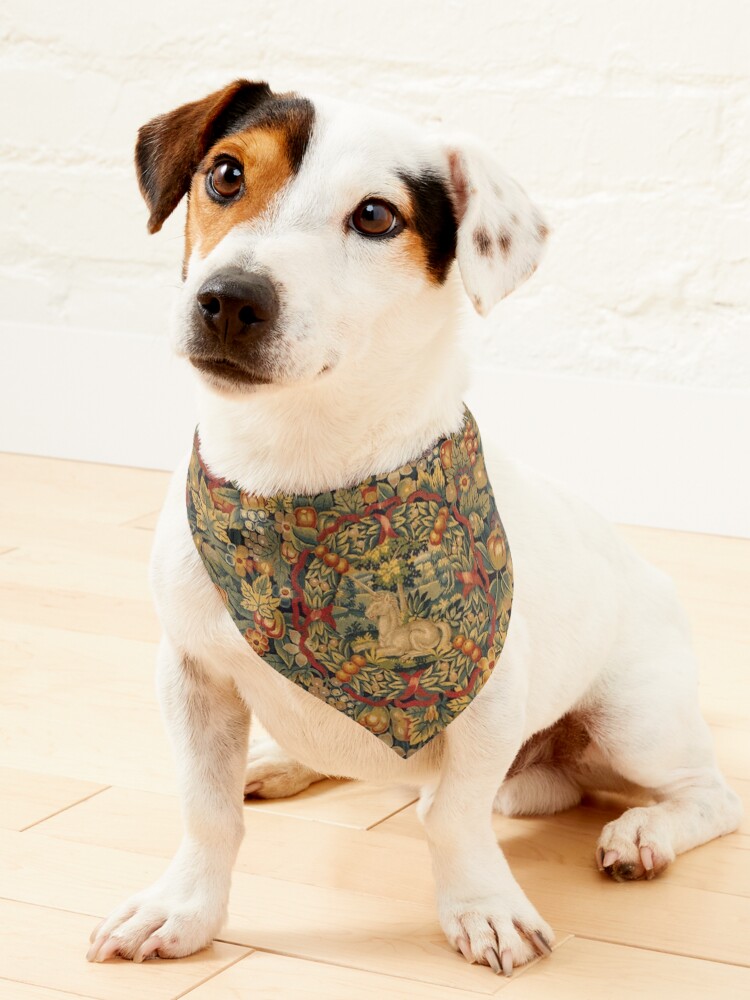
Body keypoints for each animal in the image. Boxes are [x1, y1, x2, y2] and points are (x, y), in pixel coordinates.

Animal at [85, 80, 744, 976]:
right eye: (225, 174)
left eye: (375, 216)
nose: (229, 299)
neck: (299, 471)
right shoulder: (191, 676)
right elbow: (206, 811)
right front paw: (183, 909)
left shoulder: (489, 701)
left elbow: (453, 817)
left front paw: (483, 907)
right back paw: (282, 761)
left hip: (635, 719)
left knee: (708, 796)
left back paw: (644, 833)